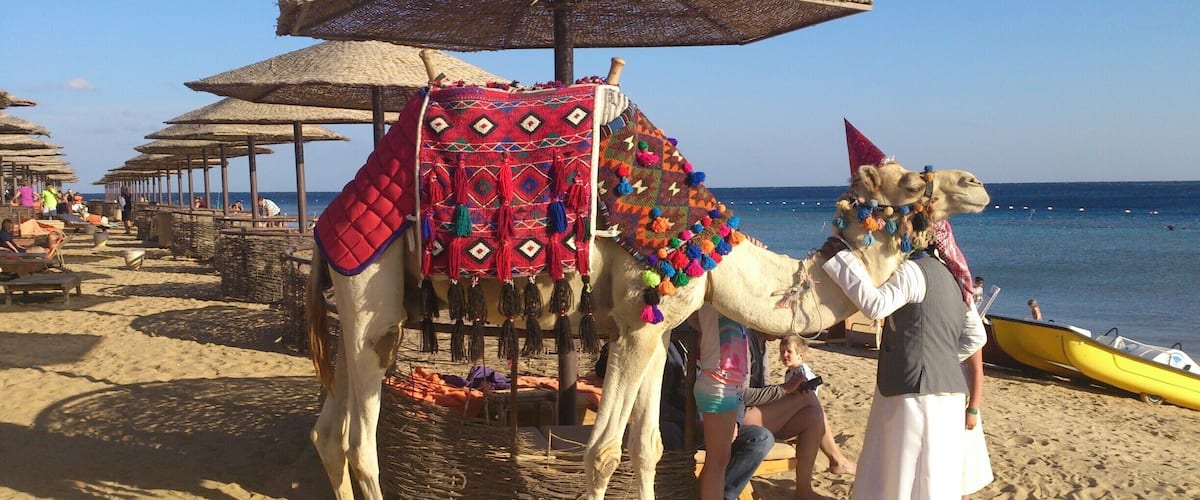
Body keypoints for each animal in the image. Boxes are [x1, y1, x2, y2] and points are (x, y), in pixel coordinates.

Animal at [304, 63, 990, 500]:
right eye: (913, 183)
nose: (978, 184)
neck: (710, 252)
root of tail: (326, 224)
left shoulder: (657, 333)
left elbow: (650, 448)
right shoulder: (635, 323)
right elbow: (602, 451)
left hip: (373, 316)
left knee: (329, 432)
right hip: (368, 289)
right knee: (361, 445)